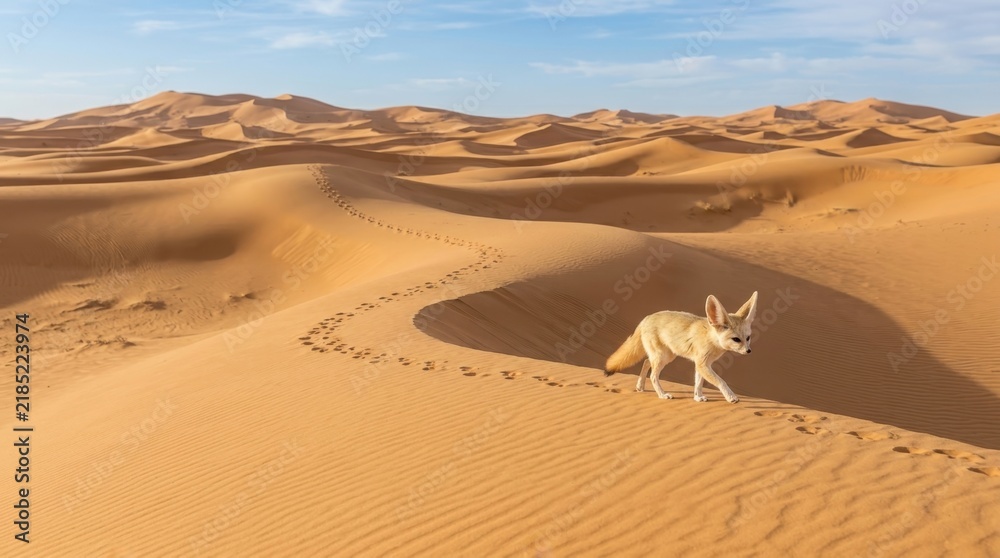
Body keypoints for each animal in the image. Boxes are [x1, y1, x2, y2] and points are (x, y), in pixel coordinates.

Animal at [604, 292, 758, 403]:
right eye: (736, 339)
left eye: (748, 338)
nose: (749, 351)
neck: (711, 339)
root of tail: (646, 318)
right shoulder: (702, 364)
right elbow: (721, 381)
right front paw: (731, 397)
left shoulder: (702, 364)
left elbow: (698, 383)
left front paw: (697, 397)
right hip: (663, 357)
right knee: (653, 375)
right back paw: (662, 395)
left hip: (667, 356)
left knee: (646, 362)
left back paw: (640, 386)